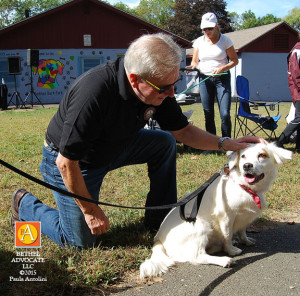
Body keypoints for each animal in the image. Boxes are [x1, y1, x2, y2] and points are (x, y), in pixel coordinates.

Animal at [141, 142, 292, 278]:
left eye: (262, 155)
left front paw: (245, 240)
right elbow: (227, 236)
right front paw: (231, 250)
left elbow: (242, 230)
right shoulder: (226, 217)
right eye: (243, 156)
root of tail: (158, 239)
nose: (247, 165)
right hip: (200, 224)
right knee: (198, 257)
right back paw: (225, 260)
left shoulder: (244, 216)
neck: (244, 186)